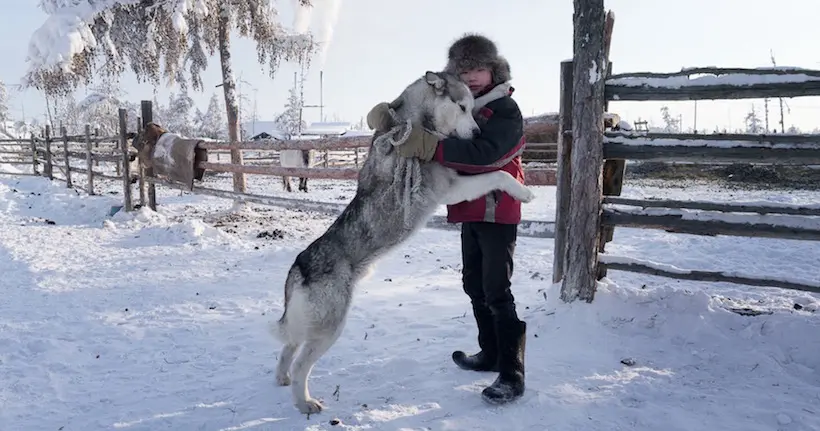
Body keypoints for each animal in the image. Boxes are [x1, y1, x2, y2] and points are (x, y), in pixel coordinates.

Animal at [272, 71, 536, 416]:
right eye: (460, 108)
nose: (478, 132)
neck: (412, 122)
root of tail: (298, 265)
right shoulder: (452, 187)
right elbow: (498, 177)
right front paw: (522, 191)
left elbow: (485, 104)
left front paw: (499, 90)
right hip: (329, 326)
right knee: (301, 361)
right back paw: (304, 402)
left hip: (310, 323)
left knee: (288, 346)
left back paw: (282, 378)